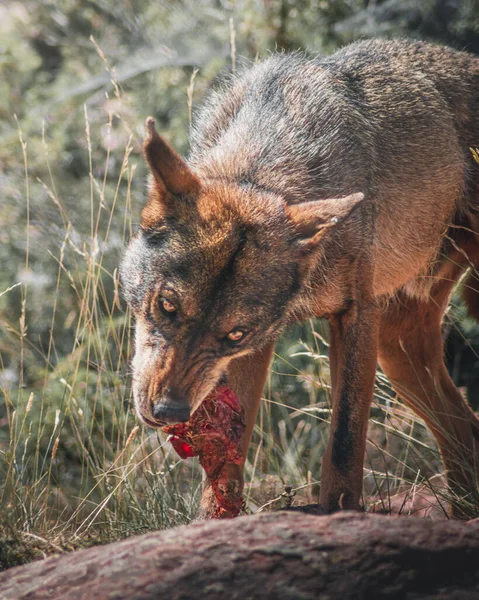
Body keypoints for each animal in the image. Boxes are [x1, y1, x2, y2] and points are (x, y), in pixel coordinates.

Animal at [121, 38, 479, 516]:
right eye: (167, 306)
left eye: (234, 333)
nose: (170, 412)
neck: (263, 168)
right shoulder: (256, 351)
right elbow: (227, 468)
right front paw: (213, 521)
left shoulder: (355, 316)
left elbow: (345, 444)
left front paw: (339, 515)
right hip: (399, 354)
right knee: (464, 428)